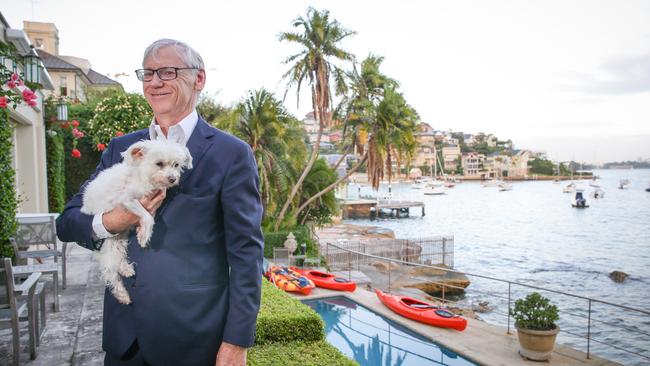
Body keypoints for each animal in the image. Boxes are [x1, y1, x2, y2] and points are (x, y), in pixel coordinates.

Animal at [80, 139, 190, 304]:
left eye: (176, 165)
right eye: (159, 163)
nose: (172, 179)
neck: (142, 175)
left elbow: (150, 215)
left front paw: (141, 230)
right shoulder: (127, 199)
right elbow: (147, 216)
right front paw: (144, 235)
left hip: (118, 237)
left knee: (118, 255)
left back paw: (125, 268)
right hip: (107, 241)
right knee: (109, 271)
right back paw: (122, 294)